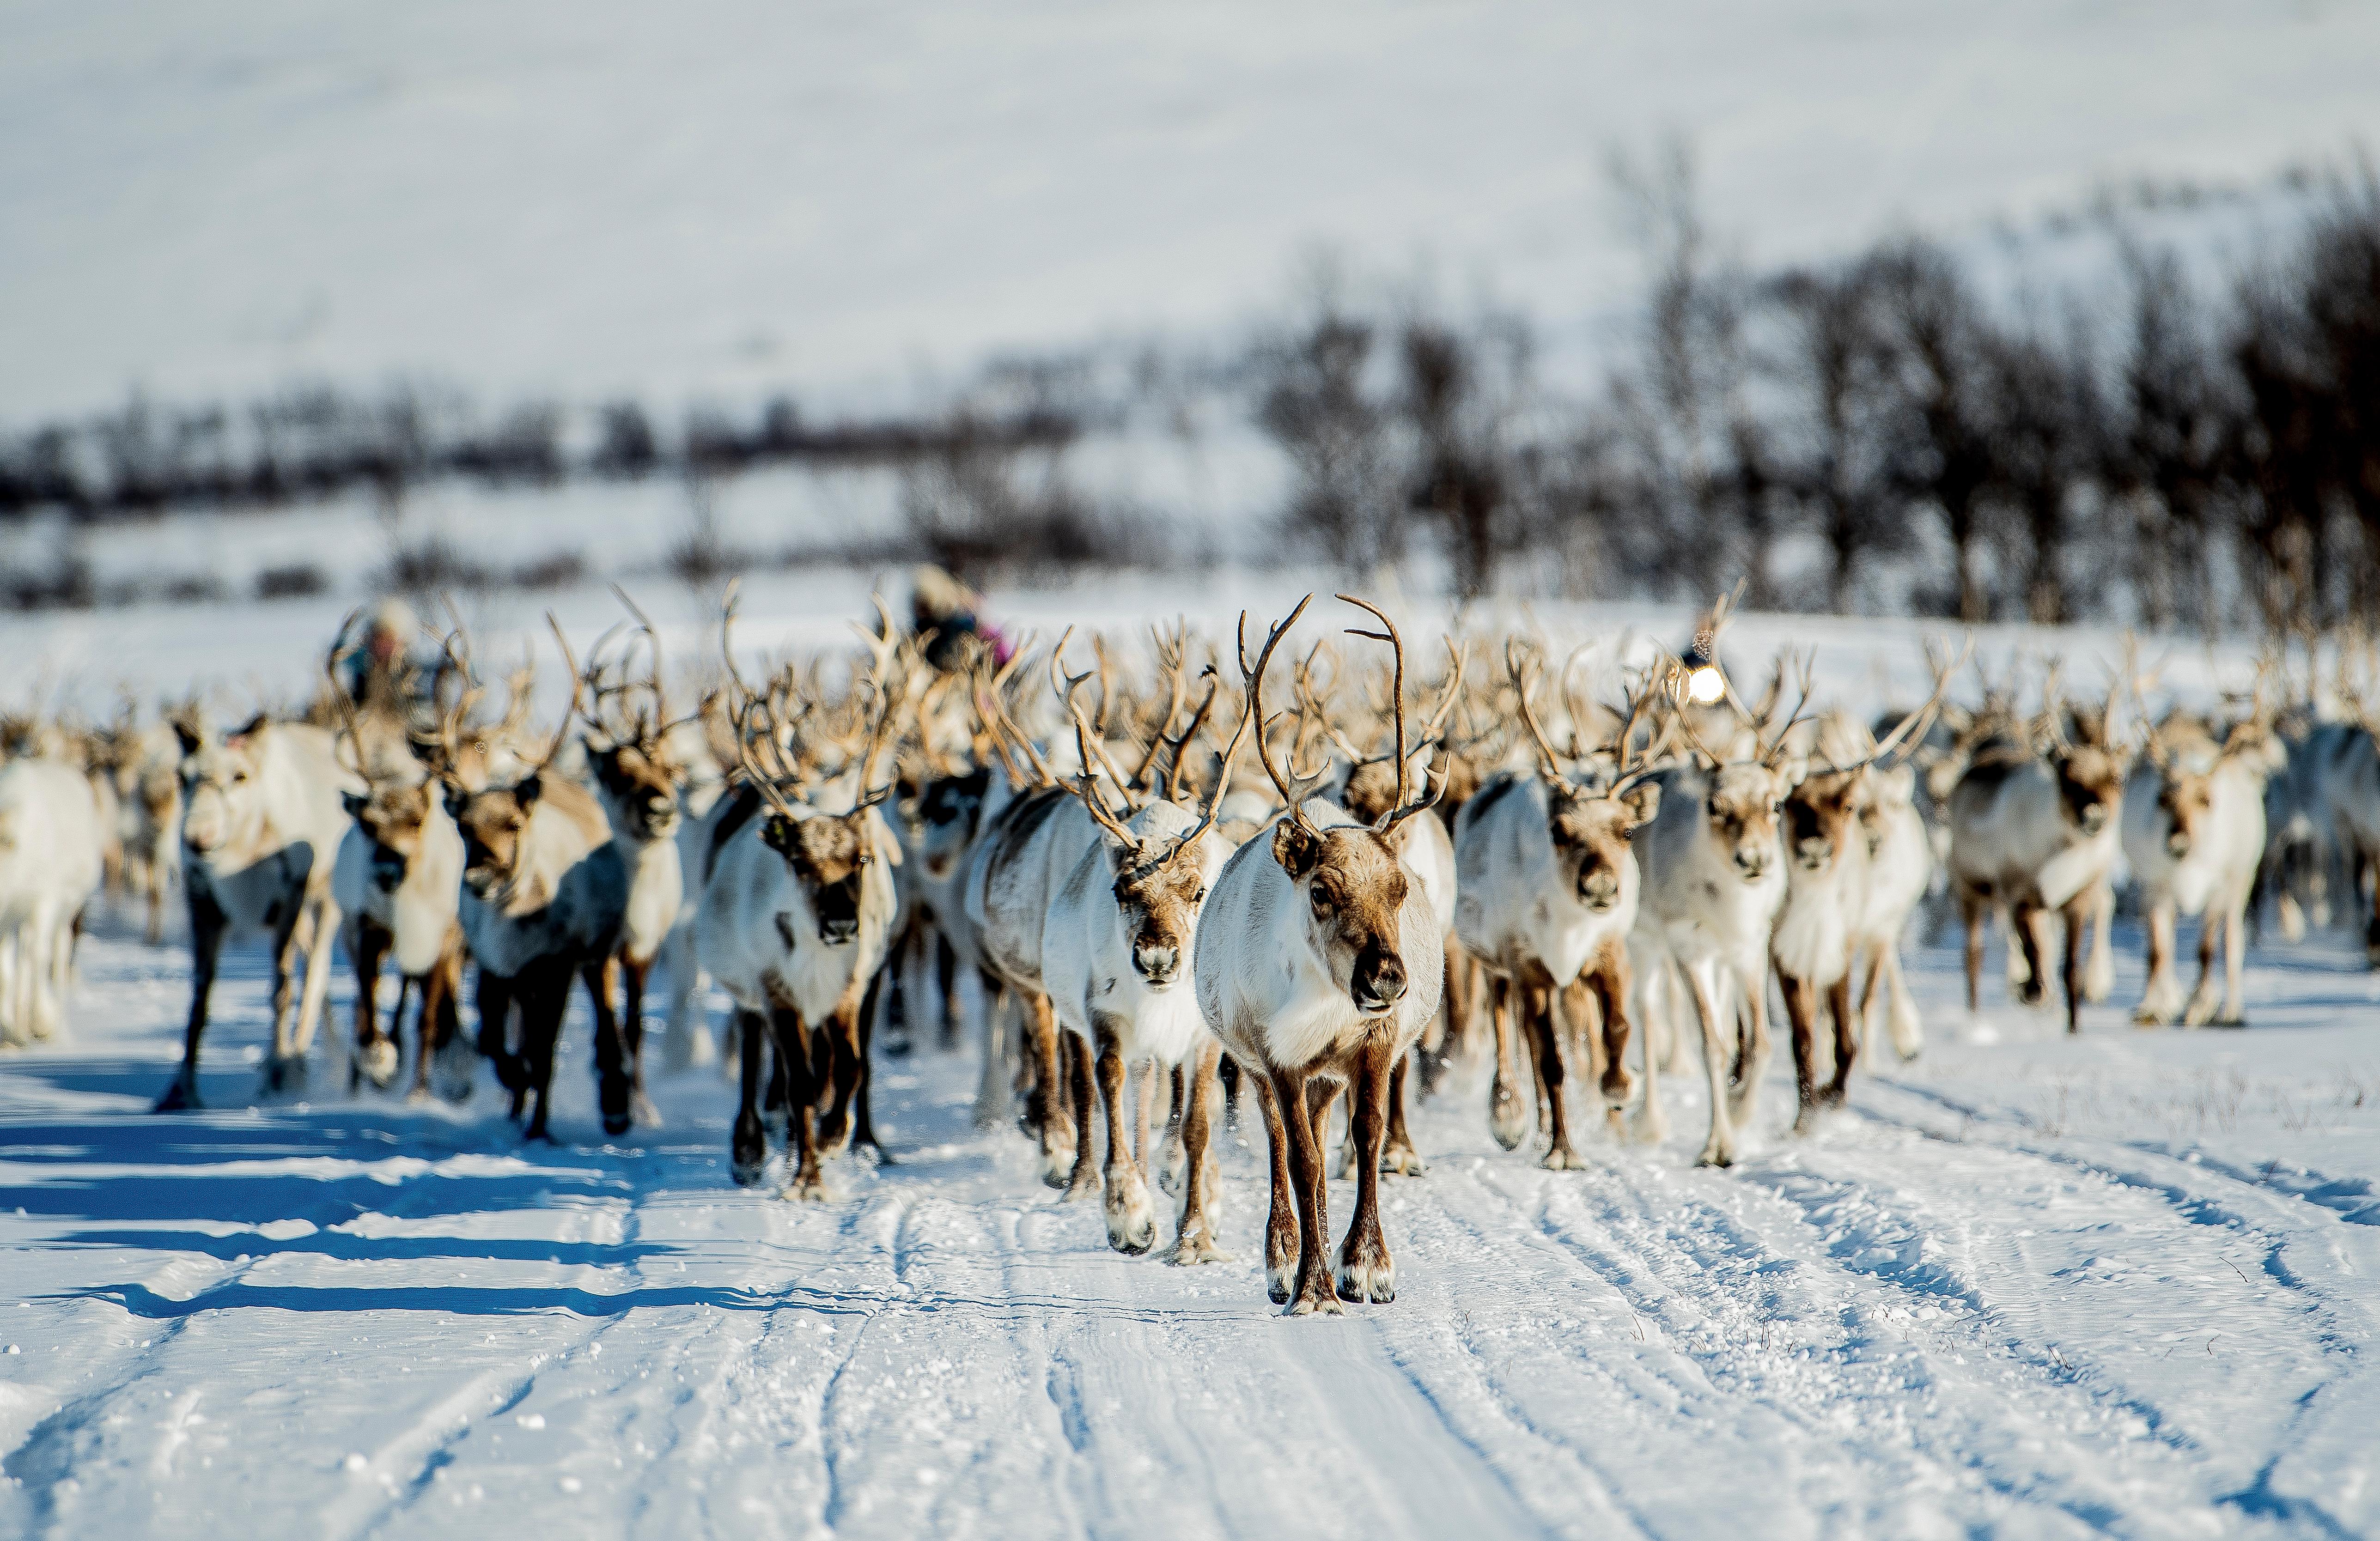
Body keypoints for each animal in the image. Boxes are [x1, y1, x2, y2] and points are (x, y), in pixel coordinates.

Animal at [436, 620, 630, 1142]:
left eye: (514, 825)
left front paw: (540, 1130)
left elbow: (544, 1050)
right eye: (464, 827)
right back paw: (516, 1103)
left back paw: (614, 1106)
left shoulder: (556, 963)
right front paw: (513, 1082)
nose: (480, 879)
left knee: (603, 1014)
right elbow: (492, 1039)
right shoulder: (497, 965)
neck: (514, 920)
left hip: (597, 953)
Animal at [698, 602, 905, 1198]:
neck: (815, 957)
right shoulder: (776, 990)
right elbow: (799, 1084)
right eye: (799, 862)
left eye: (862, 859)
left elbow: (849, 1069)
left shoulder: (848, 988)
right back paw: (750, 1149)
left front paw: (834, 1139)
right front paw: (808, 1178)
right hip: (745, 986)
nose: (840, 924)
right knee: (754, 1053)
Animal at [1193, 595, 1445, 1315]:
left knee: (1325, 1124)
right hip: (1256, 1062)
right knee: (1282, 1141)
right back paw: (1282, 1259)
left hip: (1329, 1073)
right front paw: (1310, 1286)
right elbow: (1302, 1158)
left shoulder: (1375, 1044)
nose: (1388, 978)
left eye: (1398, 888)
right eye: (1322, 891)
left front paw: (1365, 1266)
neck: (1324, 1003)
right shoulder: (1278, 1056)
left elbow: (1368, 1135)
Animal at [1452, 646, 1663, 1168]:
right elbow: (1550, 1063)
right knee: (1514, 1036)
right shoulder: (1527, 966)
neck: (1568, 929)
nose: (1602, 887)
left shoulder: (1608, 953)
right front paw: (1563, 1152)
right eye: (1559, 831)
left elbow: (1617, 1028)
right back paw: (1513, 1118)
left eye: (1626, 831)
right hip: (1498, 966)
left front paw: (1620, 1087)